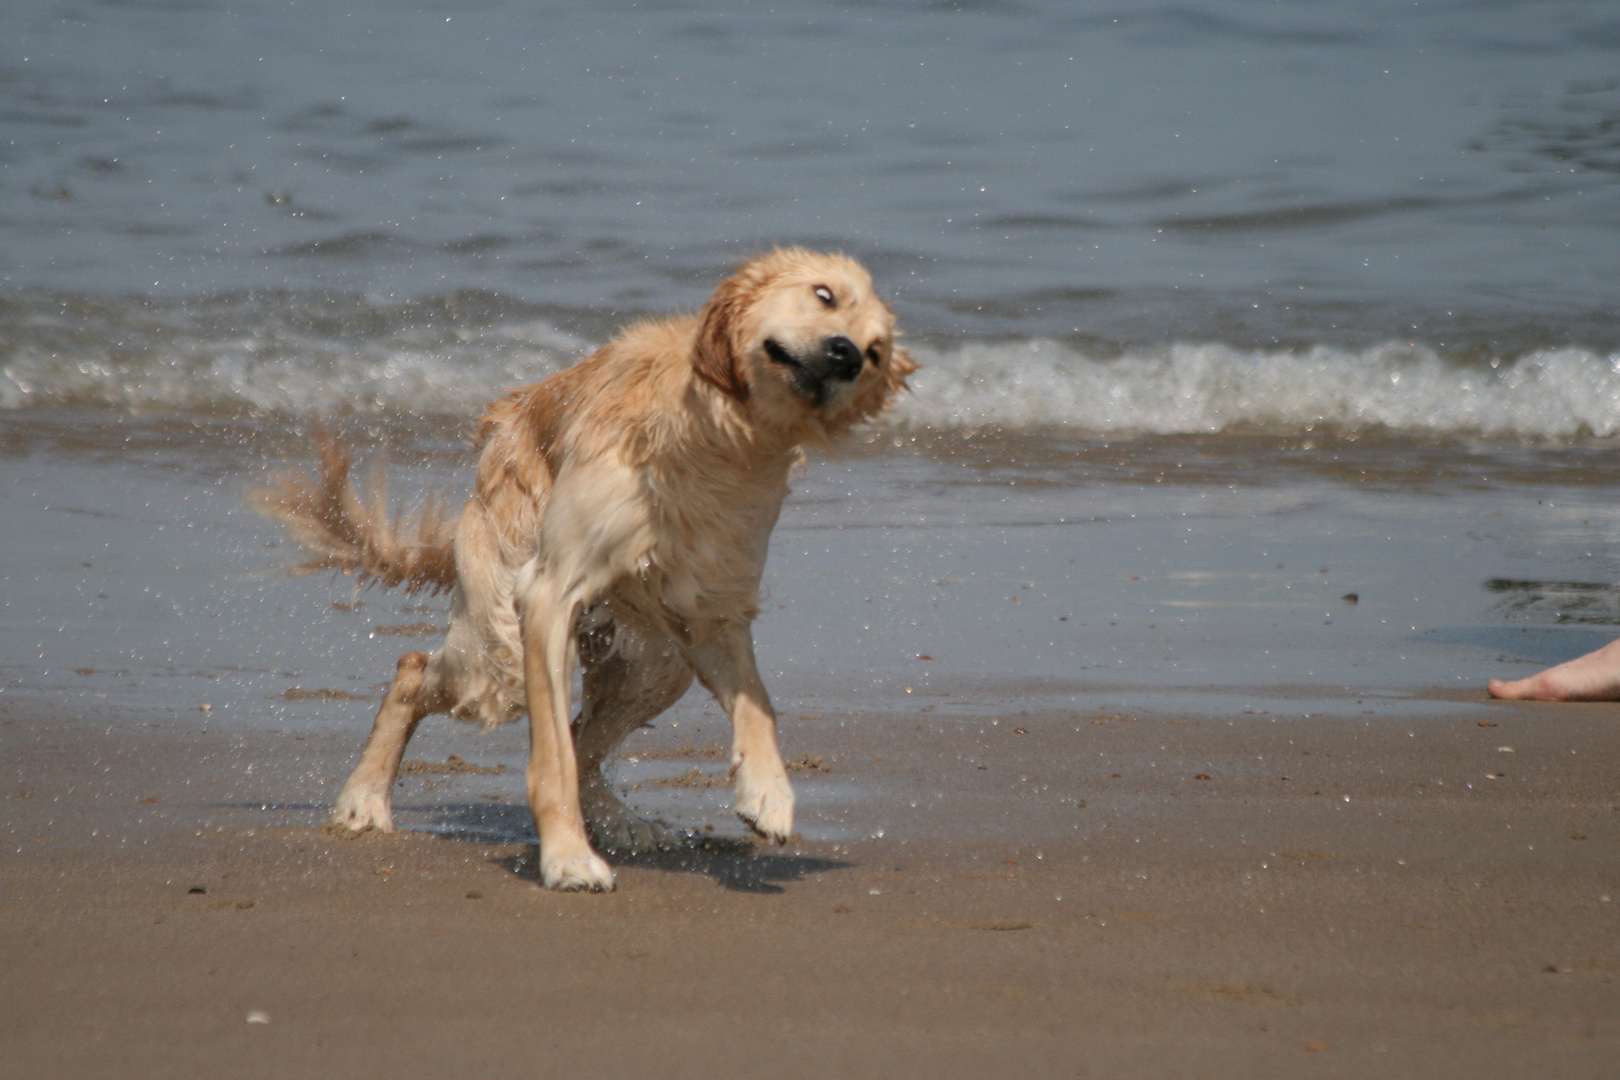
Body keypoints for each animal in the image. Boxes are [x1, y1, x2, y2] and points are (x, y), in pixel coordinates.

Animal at [251, 249, 913, 893]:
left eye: (876, 352)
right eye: (824, 294)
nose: (846, 353)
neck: (717, 438)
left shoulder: (712, 609)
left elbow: (758, 704)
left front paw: (768, 791)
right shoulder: (551, 590)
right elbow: (554, 762)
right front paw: (568, 858)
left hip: (655, 664)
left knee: (585, 734)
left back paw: (624, 821)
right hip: (502, 651)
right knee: (419, 671)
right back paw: (363, 800)